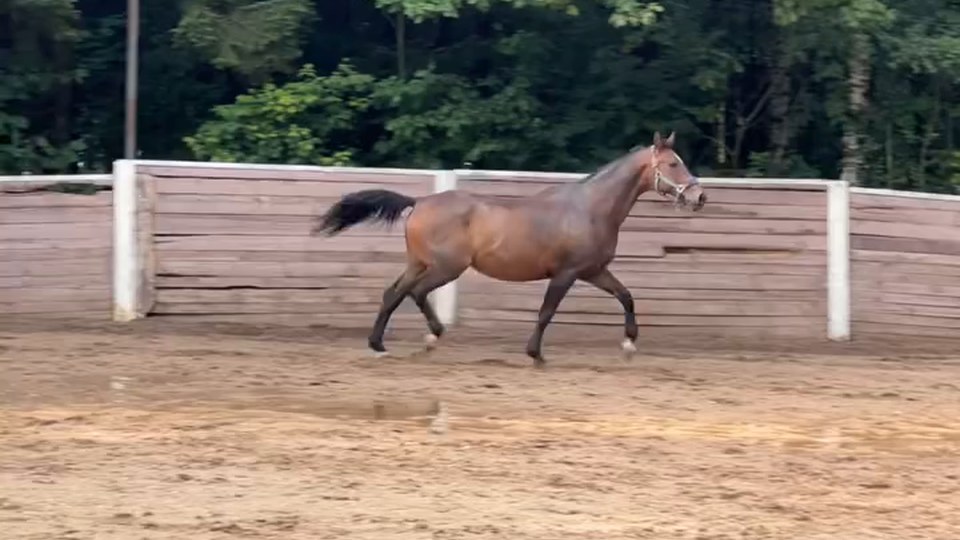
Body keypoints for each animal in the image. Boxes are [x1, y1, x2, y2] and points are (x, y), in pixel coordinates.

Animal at [312, 131, 706, 367]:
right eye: (673, 163)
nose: (700, 197)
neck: (590, 209)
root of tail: (420, 201)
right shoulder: (566, 274)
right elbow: (546, 312)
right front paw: (536, 355)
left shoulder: (594, 271)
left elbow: (626, 296)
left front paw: (629, 344)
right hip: (446, 267)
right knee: (416, 293)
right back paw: (431, 338)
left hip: (420, 263)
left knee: (393, 293)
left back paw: (379, 344)